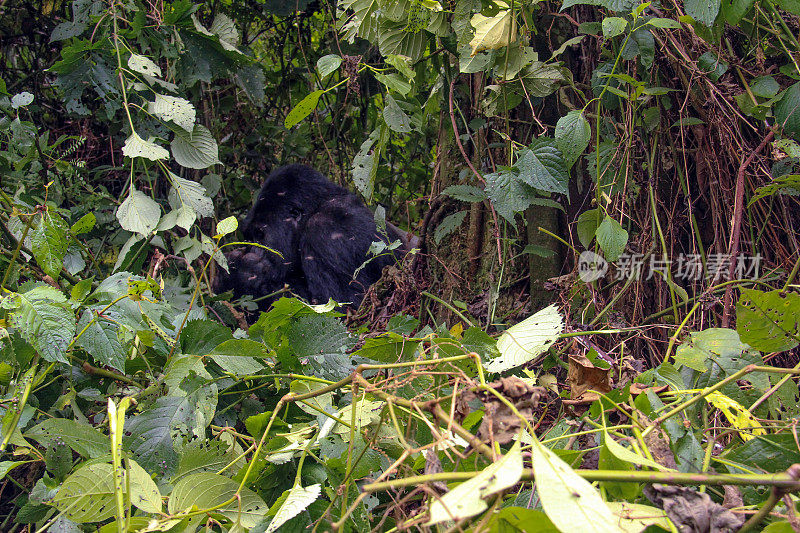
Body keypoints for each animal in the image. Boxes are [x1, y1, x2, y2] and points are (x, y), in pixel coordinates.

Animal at [212, 164, 412, 310]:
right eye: (250, 236)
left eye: (261, 236)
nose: (254, 250)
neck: (316, 208)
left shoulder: (327, 233)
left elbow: (347, 308)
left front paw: (242, 274)